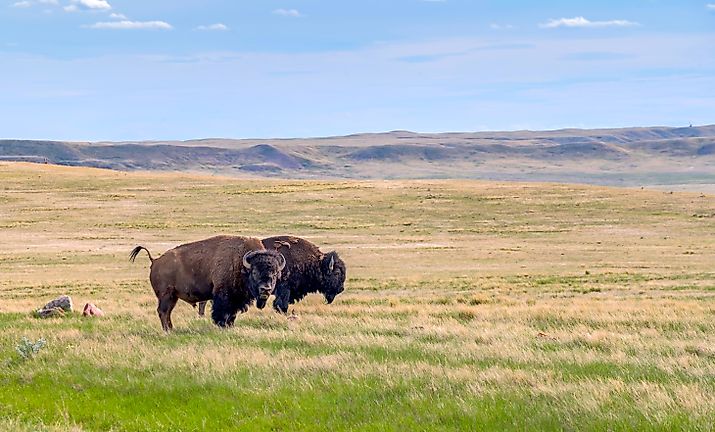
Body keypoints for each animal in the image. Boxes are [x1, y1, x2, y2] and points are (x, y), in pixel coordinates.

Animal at [130, 235, 285, 330]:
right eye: (255, 272)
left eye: (275, 273)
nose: (266, 289)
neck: (240, 262)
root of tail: (155, 261)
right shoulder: (223, 297)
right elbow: (222, 313)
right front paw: (222, 326)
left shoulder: (236, 300)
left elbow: (232, 315)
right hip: (166, 295)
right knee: (163, 311)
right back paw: (168, 330)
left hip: (173, 297)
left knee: (167, 312)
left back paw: (171, 329)